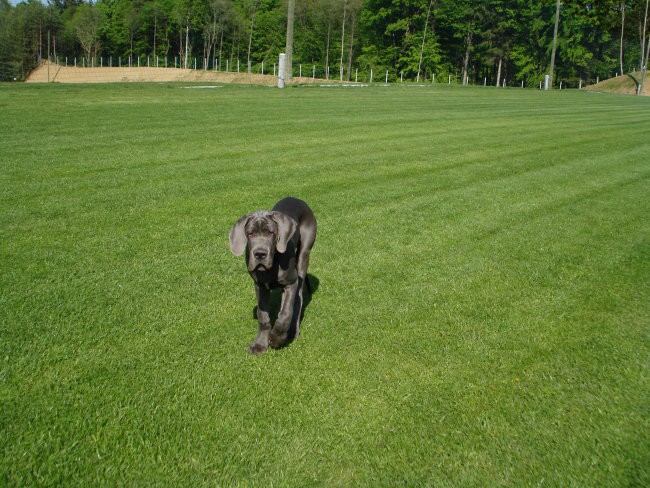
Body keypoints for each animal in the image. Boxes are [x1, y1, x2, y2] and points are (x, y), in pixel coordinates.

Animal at [230, 197, 316, 354]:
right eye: (250, 234)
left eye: (270, 233)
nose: (260, 254)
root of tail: (297, 199)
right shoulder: (260, 286)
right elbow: (262, 315)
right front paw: (260, 344)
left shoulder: (290, 283)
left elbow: (285, 314)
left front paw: (276, 339)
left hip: (304, 253)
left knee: (298, 298)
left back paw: (293, 331)